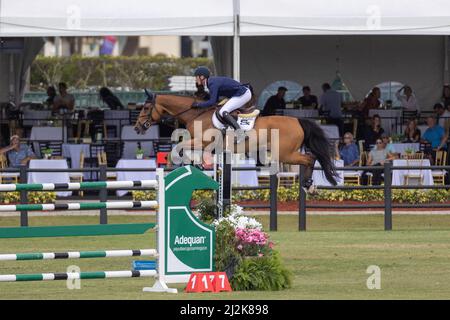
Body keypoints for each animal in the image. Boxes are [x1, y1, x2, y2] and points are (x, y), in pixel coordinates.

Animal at [134, 92, 338, 188]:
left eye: (146, 108)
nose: (137, 127)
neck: (195, 114)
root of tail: (298, 120)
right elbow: (186, 150)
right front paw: (198, 164)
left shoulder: (202, 142)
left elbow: (179, 148)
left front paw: (174, 163)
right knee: (311, 158)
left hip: (285, 153)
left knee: (309, 158)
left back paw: (308, 185)